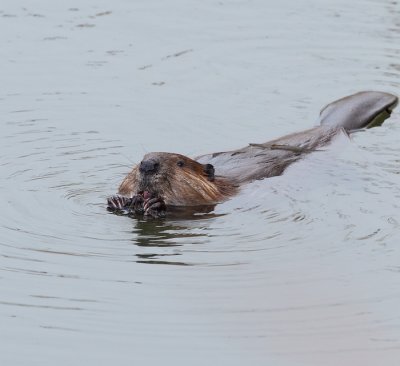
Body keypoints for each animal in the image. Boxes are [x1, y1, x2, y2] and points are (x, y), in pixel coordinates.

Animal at [108, 91, 398, 217]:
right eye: (140, 159)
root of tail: (335, 124)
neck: (224, 182)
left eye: (179, 162)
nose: (147, 164)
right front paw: (119, 200)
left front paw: (155, 204)